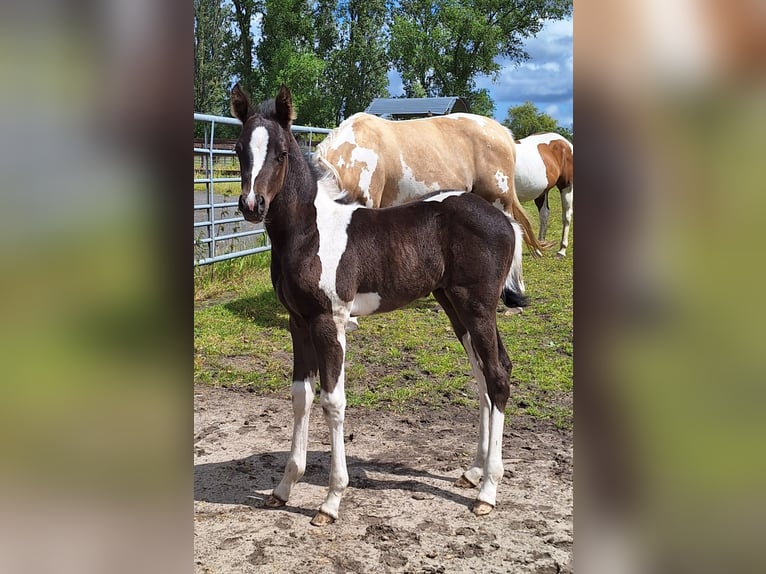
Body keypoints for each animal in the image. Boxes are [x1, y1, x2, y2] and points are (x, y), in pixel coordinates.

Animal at [231, 83, 532, 528]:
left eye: (282, 152)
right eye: (238, 149)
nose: (253, 206)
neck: (310, 233)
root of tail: (505, 221)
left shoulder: (330, 322)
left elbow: (332, 401)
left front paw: (331, 501)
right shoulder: (298, 322)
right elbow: (301, 396)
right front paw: (283, 489)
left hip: (478, 305)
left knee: (496, 376)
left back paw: (488, 492)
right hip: (455, 304)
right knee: (486, 372)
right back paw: (473, 471)